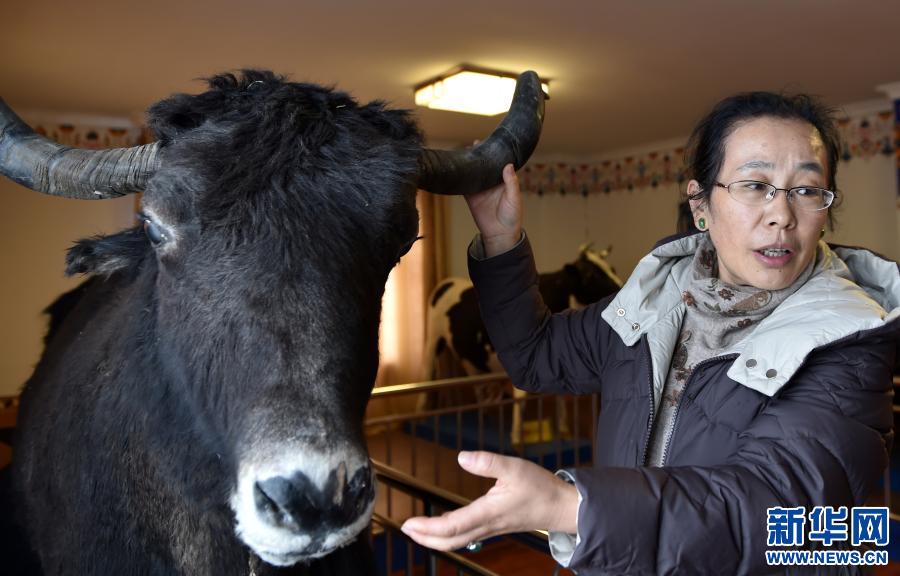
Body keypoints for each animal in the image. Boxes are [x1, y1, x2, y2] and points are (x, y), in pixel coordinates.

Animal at [422, 244, 623, 443]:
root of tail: (447, 282)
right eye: (592, 276)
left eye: (612, 269)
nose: (621, 288)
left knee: (476, 384)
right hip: (433, 340)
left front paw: (564, 430)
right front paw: (516, 437)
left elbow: (561, 395)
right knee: (429, 374)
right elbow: (521, 396)